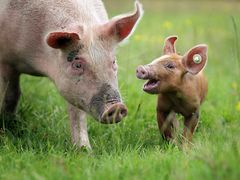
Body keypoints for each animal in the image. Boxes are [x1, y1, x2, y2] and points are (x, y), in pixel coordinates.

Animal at [0, 0, 142, 149]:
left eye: (113, 61)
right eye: (77, 65)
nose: (116, 106)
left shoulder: (76, 89)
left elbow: (77, 114)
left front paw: (84, 150)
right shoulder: (6, 61)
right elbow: (11, 95)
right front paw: (7, 127)